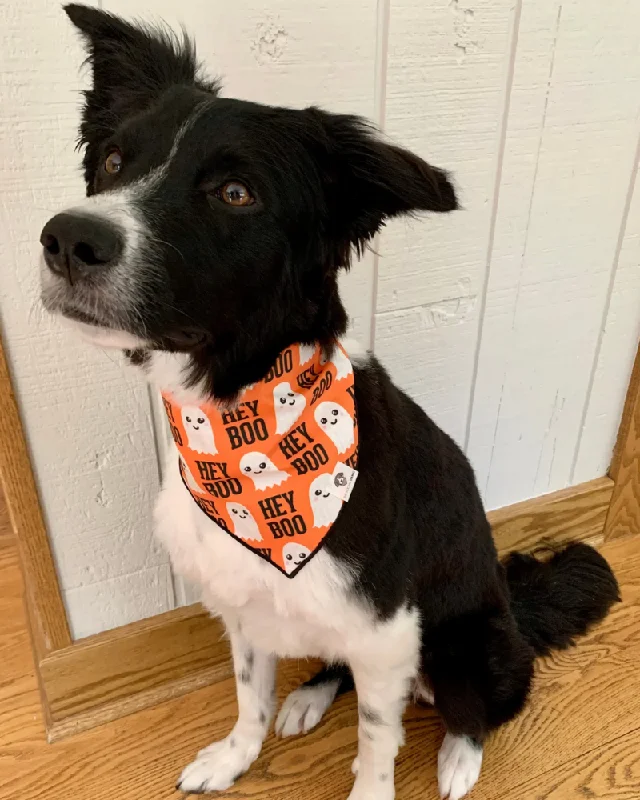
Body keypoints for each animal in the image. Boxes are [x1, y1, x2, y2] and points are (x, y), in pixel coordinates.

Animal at [40, 7, 620, 800]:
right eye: (112, 162)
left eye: (236, 193)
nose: (68, 239)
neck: (240, 422)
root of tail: (513, 603)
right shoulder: (245, 610)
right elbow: (249, 698)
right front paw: (234, 758)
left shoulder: (387, 631)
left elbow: (377, 742)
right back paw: (310, 697)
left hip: (468, 645)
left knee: (477, 707)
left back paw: (458, 757)